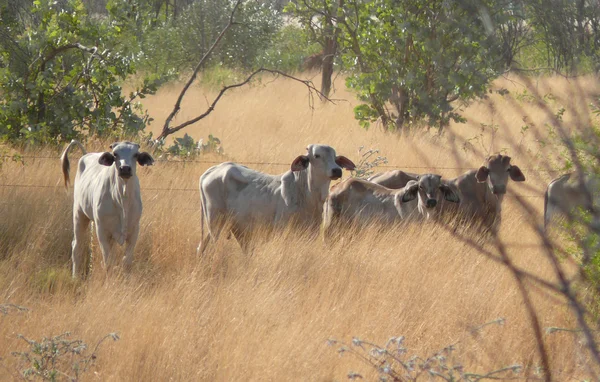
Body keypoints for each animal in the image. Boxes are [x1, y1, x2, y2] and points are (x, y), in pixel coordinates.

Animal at [60, 139, 155, 276]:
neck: (122, 199)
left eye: (135, 154)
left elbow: (127, 261)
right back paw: (75, 276)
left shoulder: (134, 230)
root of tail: (86, 155)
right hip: (79, 214)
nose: (125, 168)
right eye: (115, 154)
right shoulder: (102, 231)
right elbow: (108, 262)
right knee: (76, 246)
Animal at [197, 143, 356, 254]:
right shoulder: (281, 230)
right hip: (215, 222)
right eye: (317, 155)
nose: (337, 170)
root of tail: (211, 171)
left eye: (335, 157)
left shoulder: (311, 232)